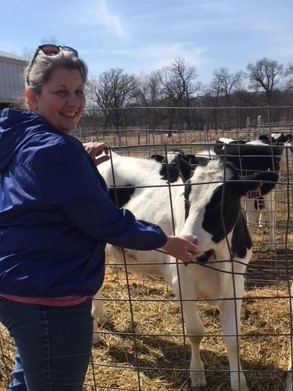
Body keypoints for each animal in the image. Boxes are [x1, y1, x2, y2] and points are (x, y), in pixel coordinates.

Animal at [92, 152, 278, 390]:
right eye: (186, 197)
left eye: (224, 201)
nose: (187, 241)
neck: (217, 258)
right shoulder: (183, 284)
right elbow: (195, 331)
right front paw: (197, 375)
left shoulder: (236, 284)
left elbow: (233, 338)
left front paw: (239, 382)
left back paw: (101, 317)